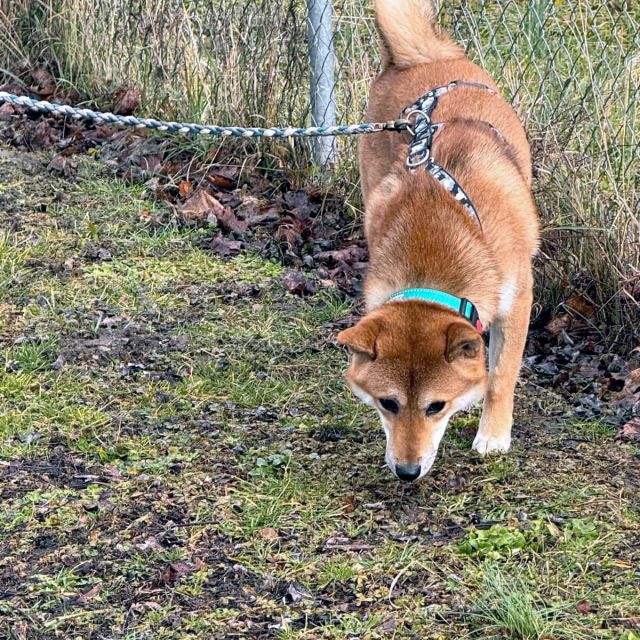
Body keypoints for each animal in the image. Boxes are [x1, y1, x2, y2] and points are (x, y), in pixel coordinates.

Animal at [340, 0, 540, 480]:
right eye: (388, 403)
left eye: (437, 406)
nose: (406, 471)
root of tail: (424, 56)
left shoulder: (518, 299)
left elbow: (501, 374)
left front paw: (493, 434)